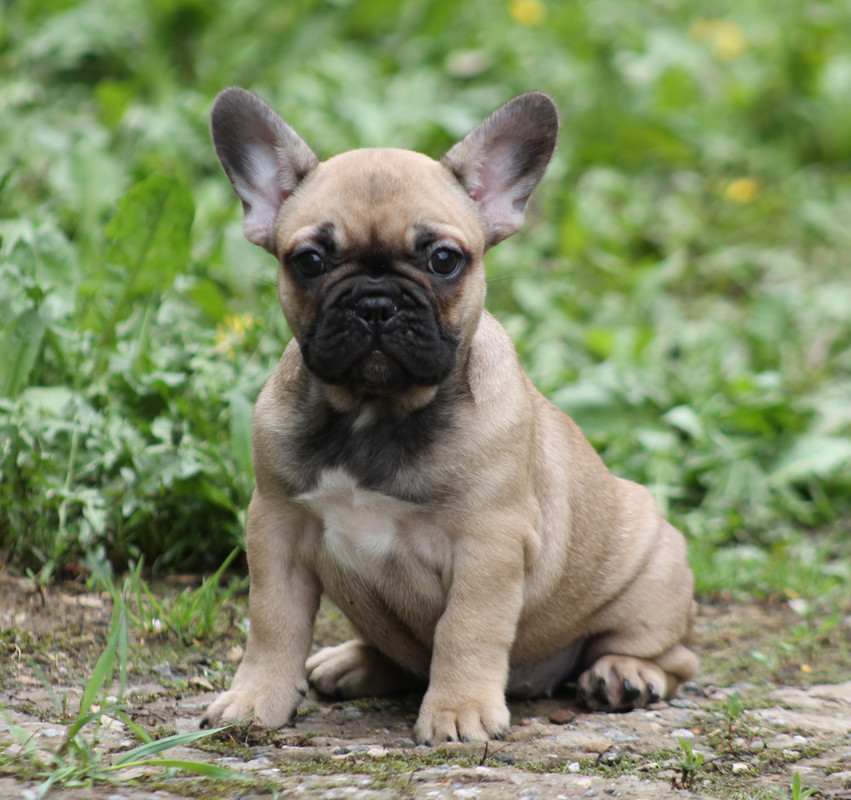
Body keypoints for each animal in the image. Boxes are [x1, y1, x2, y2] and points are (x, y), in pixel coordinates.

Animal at [201, 87, 700, 744]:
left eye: (443, 260)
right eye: (308, 261)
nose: (376, 302)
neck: (375, 412)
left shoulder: (488, 544)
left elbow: (466, 629)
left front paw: (458, 711)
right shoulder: (277, 528)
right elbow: (273, 624)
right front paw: (255, 699)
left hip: (652, 573)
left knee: (673, 656)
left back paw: (625, 673)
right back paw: (352, 663)